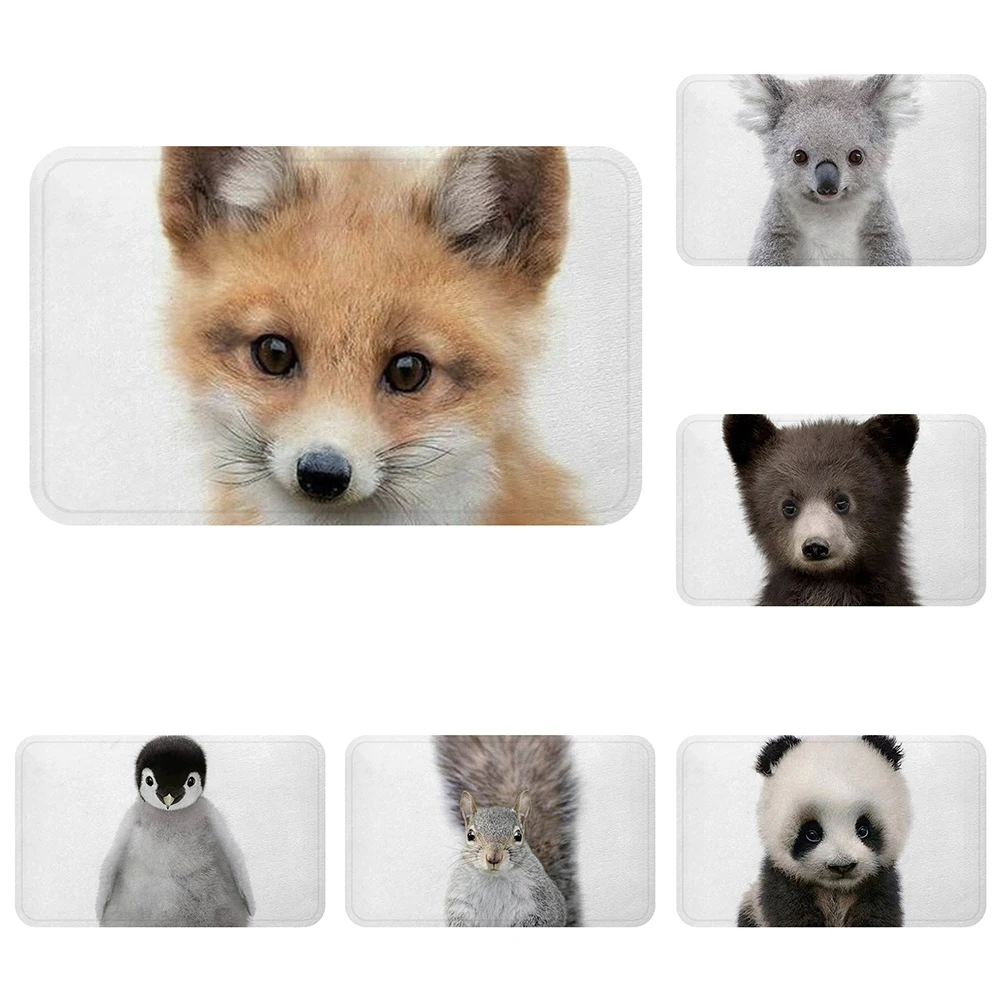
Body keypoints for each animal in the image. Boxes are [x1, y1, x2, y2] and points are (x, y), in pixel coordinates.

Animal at [734, 75, 920, 266]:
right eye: (799, 156)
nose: (827, 186)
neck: (829, 210)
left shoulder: (879, 220)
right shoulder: (779, 219)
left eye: (856, 156)